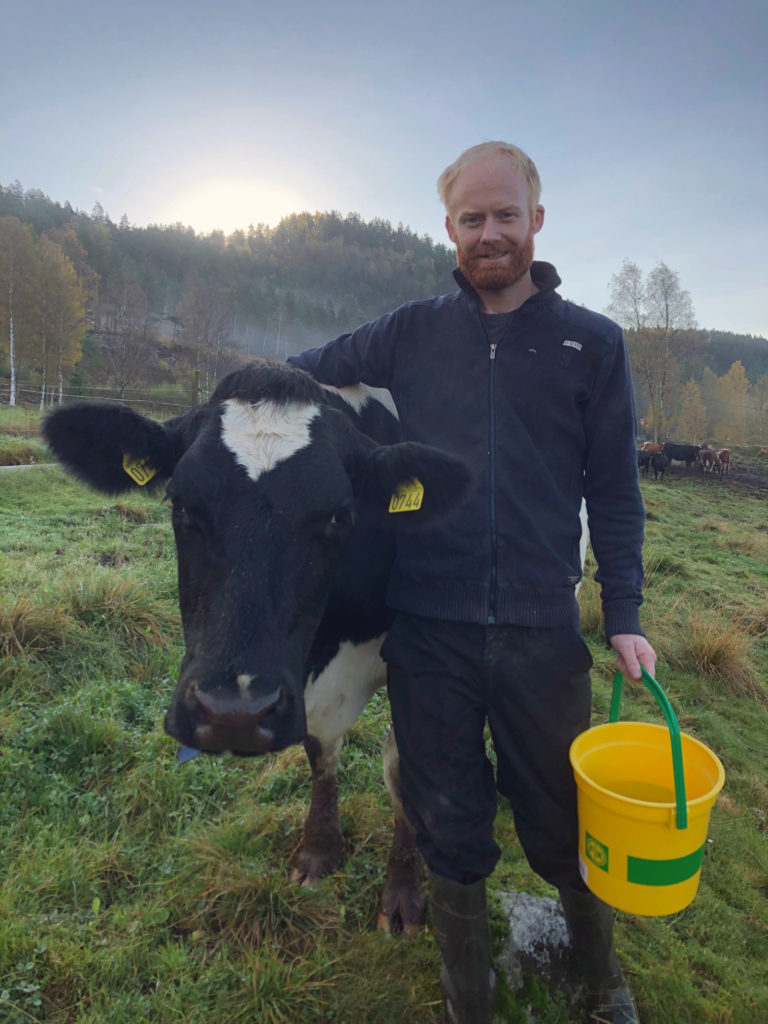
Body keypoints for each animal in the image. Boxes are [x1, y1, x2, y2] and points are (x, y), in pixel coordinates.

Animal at [45, 360, 475, 937]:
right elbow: (320, 751)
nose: (233, 714)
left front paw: (403, 892)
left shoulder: (419, 668)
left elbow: (404, 770)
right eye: (179, 503)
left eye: (340, 515)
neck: (333, 647)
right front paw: (318, 852)